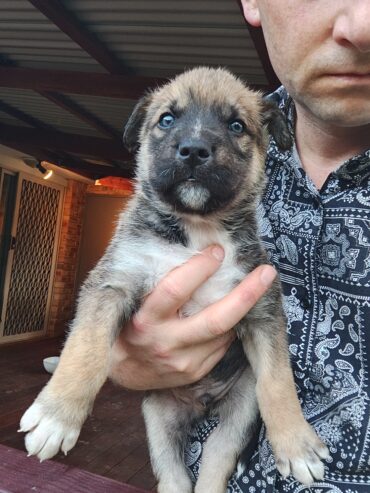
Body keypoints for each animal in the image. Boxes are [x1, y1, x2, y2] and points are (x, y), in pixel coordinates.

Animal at [19, 66, 326, 492]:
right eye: (166, 119)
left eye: (236, 125)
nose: (194, 150)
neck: (197, 229)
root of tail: (199, 404)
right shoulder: (113, 283)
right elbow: (85, 349)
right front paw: (55, 416)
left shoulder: (263, 310)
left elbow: (279, 381)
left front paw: (297, 445)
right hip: (158, 419)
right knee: (174, 475)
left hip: (238, 412)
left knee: (216, 457)